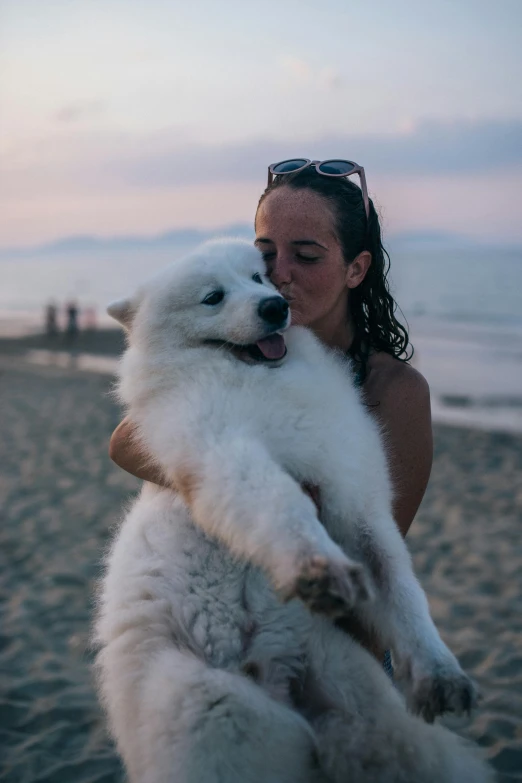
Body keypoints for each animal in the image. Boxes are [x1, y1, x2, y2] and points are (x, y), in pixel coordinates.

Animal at [94, 239, 492, 783]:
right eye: (213, 297)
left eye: (258, 278)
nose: (274, 307)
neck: (264, 381)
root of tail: (274, 677)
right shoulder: (225, 452)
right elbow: (283, 505)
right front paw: (316, 566)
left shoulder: (355, 499)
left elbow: (401, 587)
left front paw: (438, 670)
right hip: (214, 704)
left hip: (354, 694)